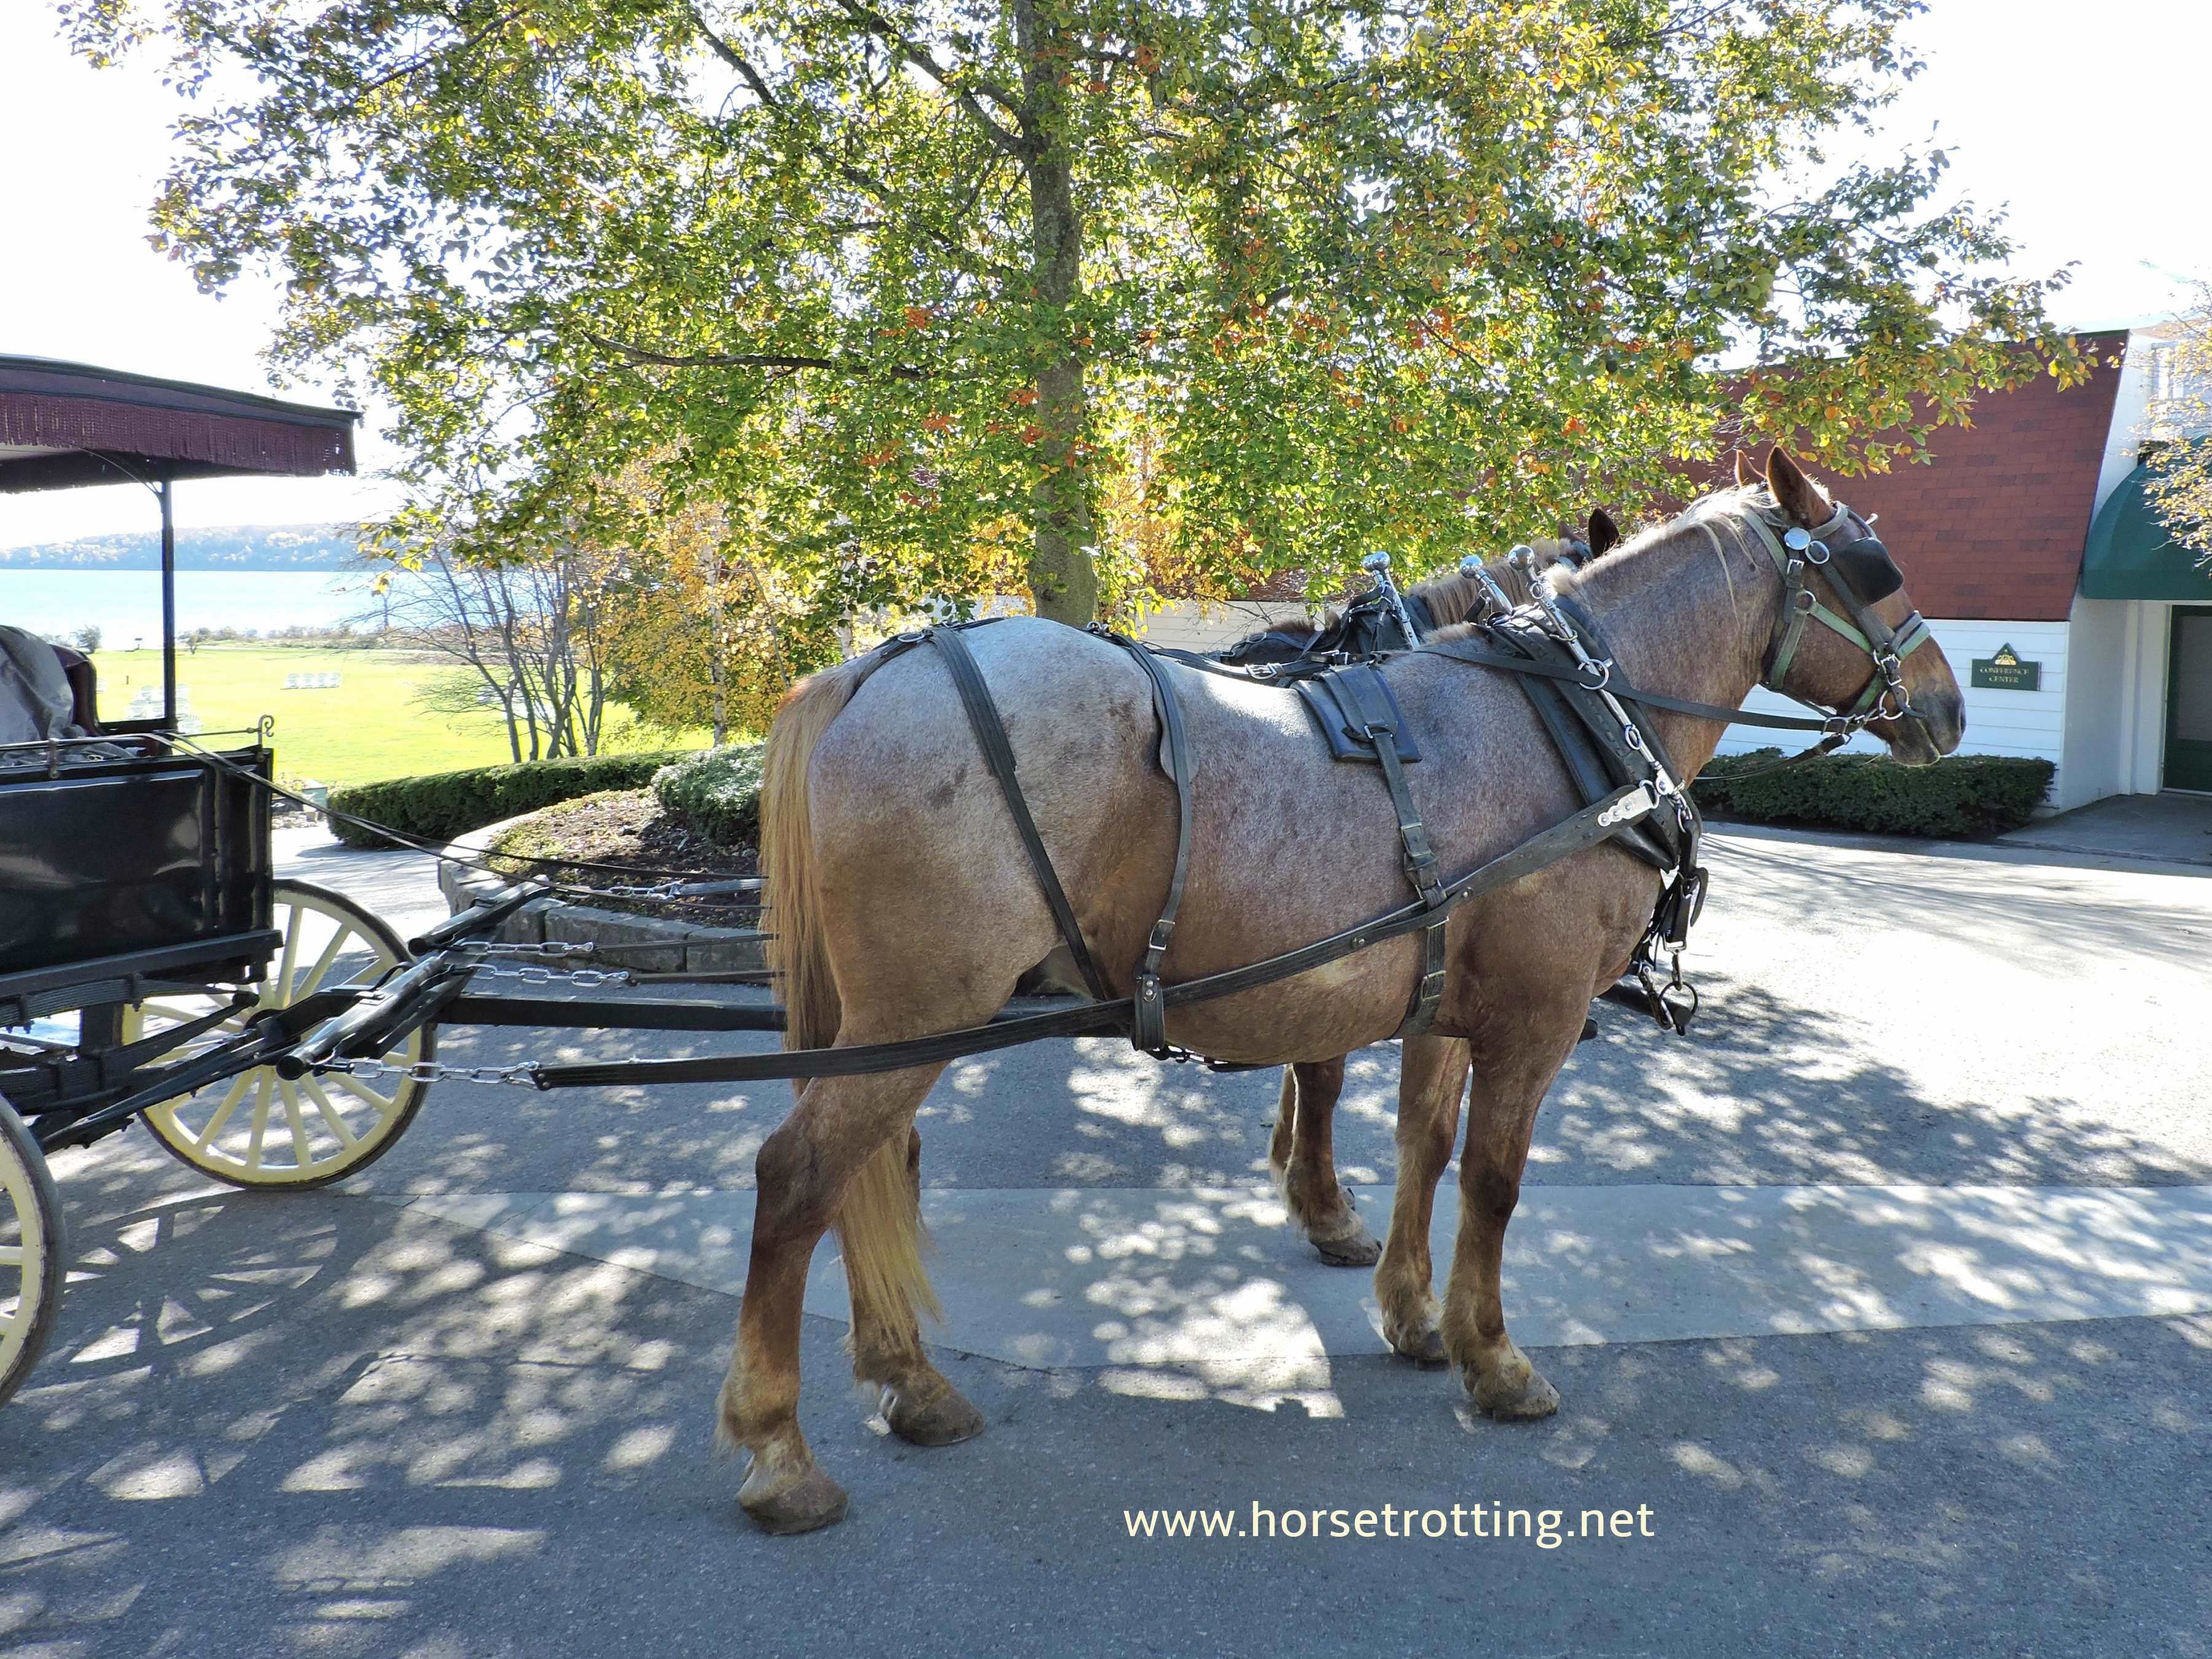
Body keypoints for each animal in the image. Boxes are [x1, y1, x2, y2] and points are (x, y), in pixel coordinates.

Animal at [726, 446, 1963, 1532]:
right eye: (1874, 568)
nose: (1948, 707)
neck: (1571, 718)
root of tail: (880, 667)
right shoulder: (1537, 1020)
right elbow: (1493, 1181)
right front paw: (1493, 1357)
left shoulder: (1446, 1006)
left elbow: (1423, 1142)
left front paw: (1411, 1311)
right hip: (922, 1012)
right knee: (800, 1180)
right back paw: (781, 1452)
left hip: (899, 1025)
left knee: (876, 1170)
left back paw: (910, 1383)